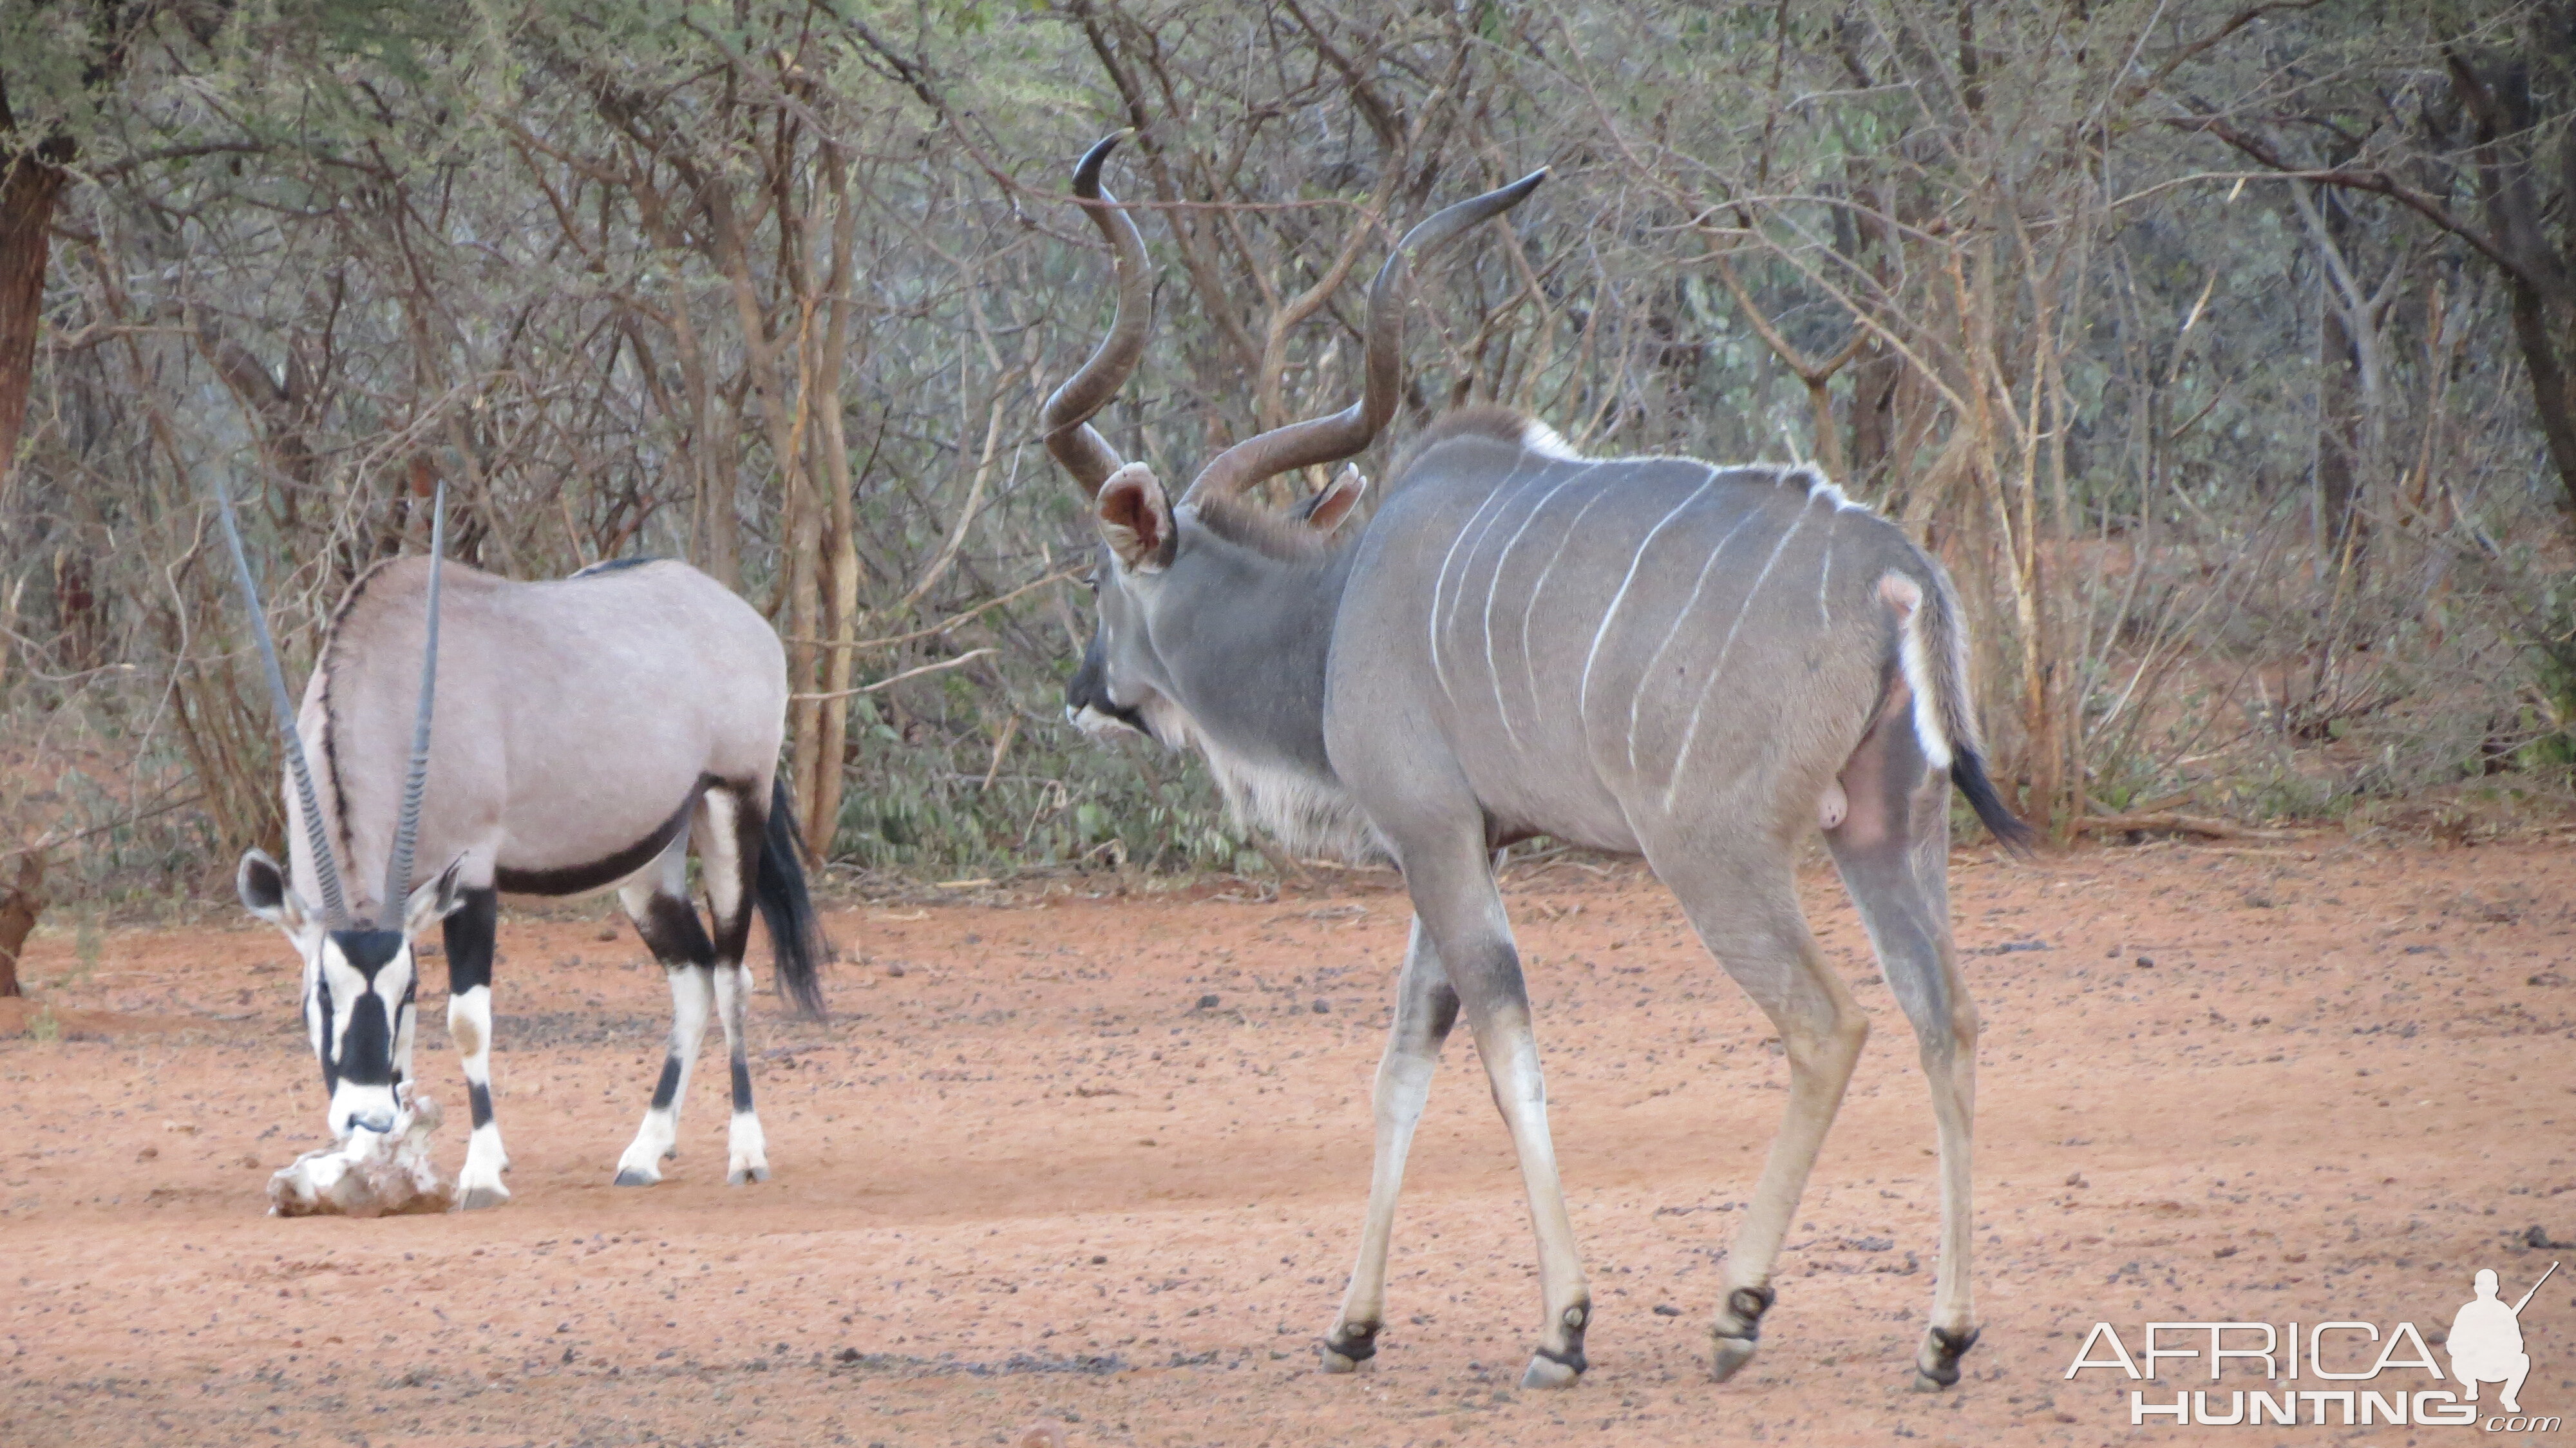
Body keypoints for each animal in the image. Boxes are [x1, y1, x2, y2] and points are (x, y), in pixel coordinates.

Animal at [222, 484, 829, 1206]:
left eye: (402, 987)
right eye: (320, 990)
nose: (364, 1117)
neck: (386, 681)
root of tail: (739, 616)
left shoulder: (471, 877)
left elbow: (468, 1021)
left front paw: (481, 1171)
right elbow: (417, 1035)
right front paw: (374, 1166)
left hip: (735, 803)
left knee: (735, 974)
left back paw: (746, 1152)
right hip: (649, 865)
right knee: (694, 977)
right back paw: (645, 1152)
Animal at [1041, 135, 2030, 1391]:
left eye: (1102, 580)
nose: (1081, 694)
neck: (1334, 612)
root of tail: (1898, 572)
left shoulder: (1430, 835)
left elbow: (1504, 1046)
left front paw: (1563, 1326)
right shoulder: (1467, 842)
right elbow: (1404, 1062)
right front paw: (1352, 1325)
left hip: (1715, 854)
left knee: (1830, 1024)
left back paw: (1738, 1307)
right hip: (1887, 828)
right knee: (1946, 1013)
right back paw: (1944, 1334)